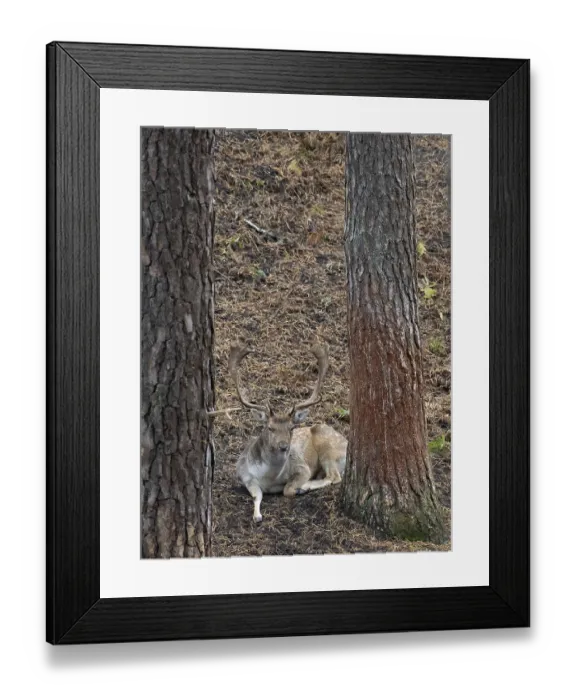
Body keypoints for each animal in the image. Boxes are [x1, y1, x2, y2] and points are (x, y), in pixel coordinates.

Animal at [228, 343, 348, 522]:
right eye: (270, 428)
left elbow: (287, 489)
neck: (269, 478)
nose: (284, 446)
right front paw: (257, 516)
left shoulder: (302, 467)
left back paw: (306, 486)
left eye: (291, 428)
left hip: (328, 446)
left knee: (334, 476)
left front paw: (300, 488)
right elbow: (257, 496)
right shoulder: (244, 475)